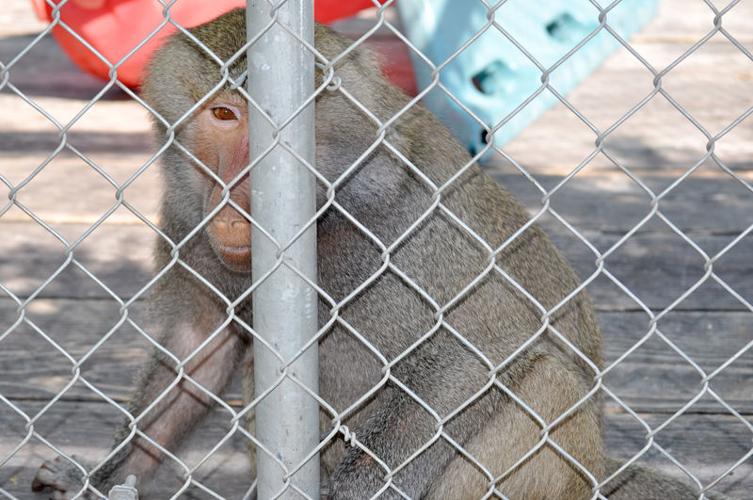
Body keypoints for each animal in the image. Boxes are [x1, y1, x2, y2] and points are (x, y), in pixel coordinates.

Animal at [31, 8, 730, 500]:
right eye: (223, 116)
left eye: (270, 129)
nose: (233, 201)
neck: (326, 210)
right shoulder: (187, 218)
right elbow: (199, 351)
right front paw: (101, 478)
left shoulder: (408, 216)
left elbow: (484, 344)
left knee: (545, 379)